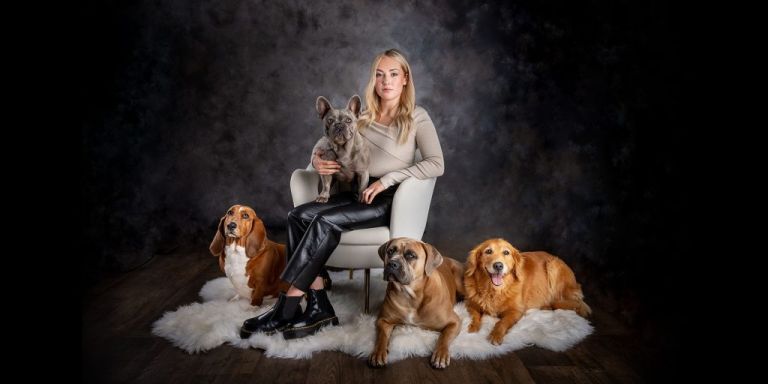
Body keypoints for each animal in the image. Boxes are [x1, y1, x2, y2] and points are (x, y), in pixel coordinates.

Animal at [368, 237, 464, 368]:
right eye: (390, 251)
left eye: (410, 255)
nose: (391, 263)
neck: (411, 296)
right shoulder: (383, 320)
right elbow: (382, 336)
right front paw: (378, 352)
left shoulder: (454, 322)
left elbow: (445, 336)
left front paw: (441, 354)